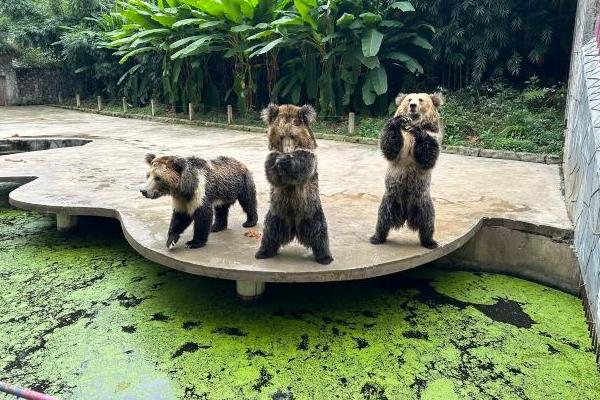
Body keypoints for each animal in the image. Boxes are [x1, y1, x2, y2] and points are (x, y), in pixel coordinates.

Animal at [255, 103, 336, 266]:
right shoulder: (271, 155)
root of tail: (294, 226)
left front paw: (286, 161)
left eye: (292, 135)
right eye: (281, 136)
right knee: (270, 233)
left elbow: (302, 166)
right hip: (276, 213)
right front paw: (278, 164)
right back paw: (263, 252)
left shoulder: (308, 155)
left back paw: (325, 257)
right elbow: (272, 175)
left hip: (311, 212)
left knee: (319, 234)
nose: (287, 151)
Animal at [370, 92, 446, 248]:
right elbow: (389, 146)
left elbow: (429, 155)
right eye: (409, 99)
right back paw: (377, 237)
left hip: (422, 200)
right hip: (390, 199)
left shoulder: (434, 134)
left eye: (421, 100)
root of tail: (405, 215)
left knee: (428, 221)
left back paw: (430, 242)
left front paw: (418, 130)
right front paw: (398, 120)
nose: (412, 106)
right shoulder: (402, 140)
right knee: (382, 218)